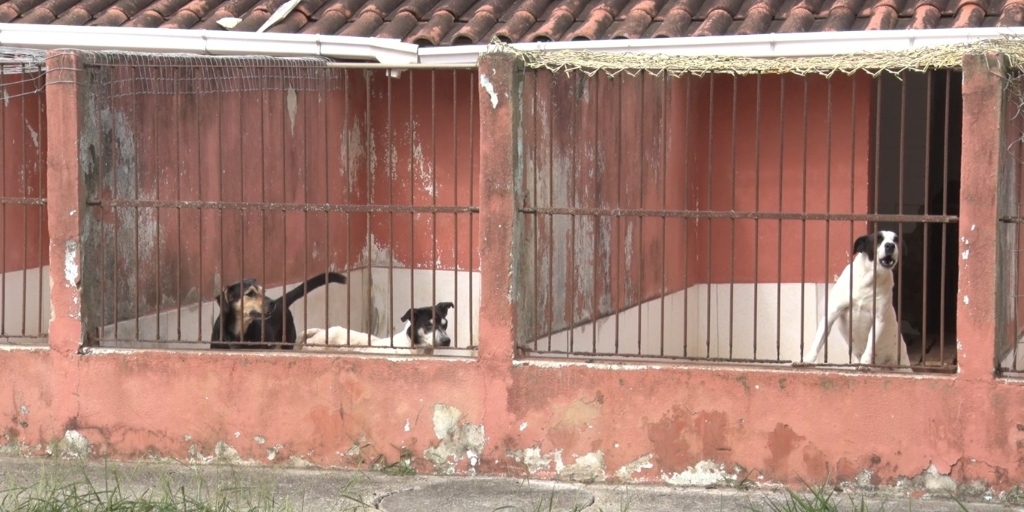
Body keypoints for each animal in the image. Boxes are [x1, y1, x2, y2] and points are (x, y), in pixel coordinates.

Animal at [798, 230, 913, 370]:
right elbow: (818, 340)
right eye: (878, 239)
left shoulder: (878, 320)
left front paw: (864, 363)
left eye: (896, 240)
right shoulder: (831, 313)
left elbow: (870, 345)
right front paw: (807, 359)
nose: (890, 245)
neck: (868, 280)